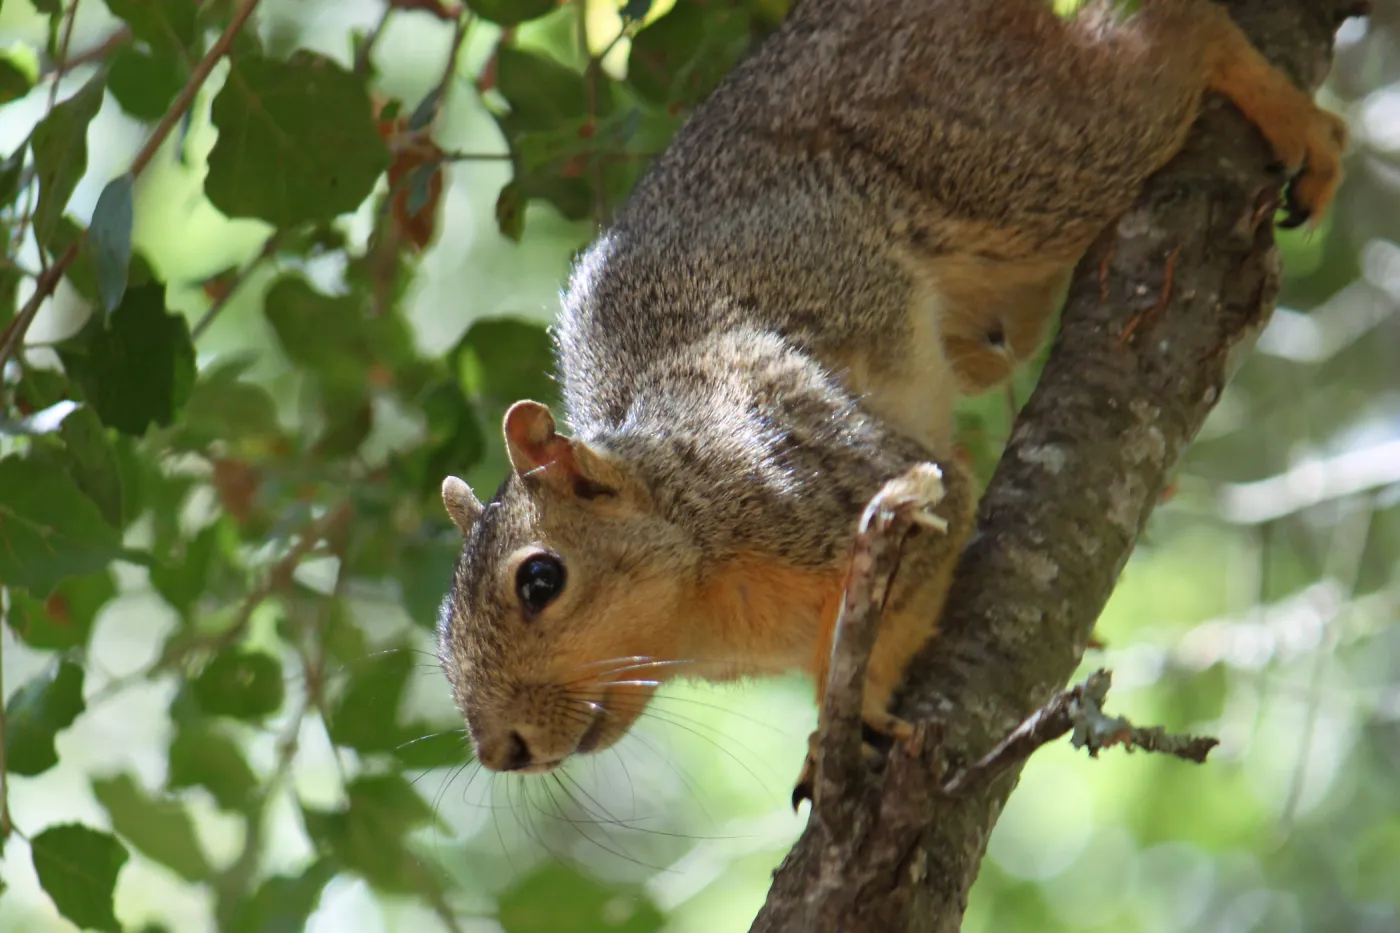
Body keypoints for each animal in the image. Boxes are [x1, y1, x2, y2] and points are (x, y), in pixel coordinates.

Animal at [436, 0, 1347, 804]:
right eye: (445, 644)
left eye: (541, 579)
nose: (501, 749)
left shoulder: (823, 480)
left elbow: (911, 561)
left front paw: (848, 721)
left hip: (1011, 147)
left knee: (1169, 43)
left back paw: (1297, 122)